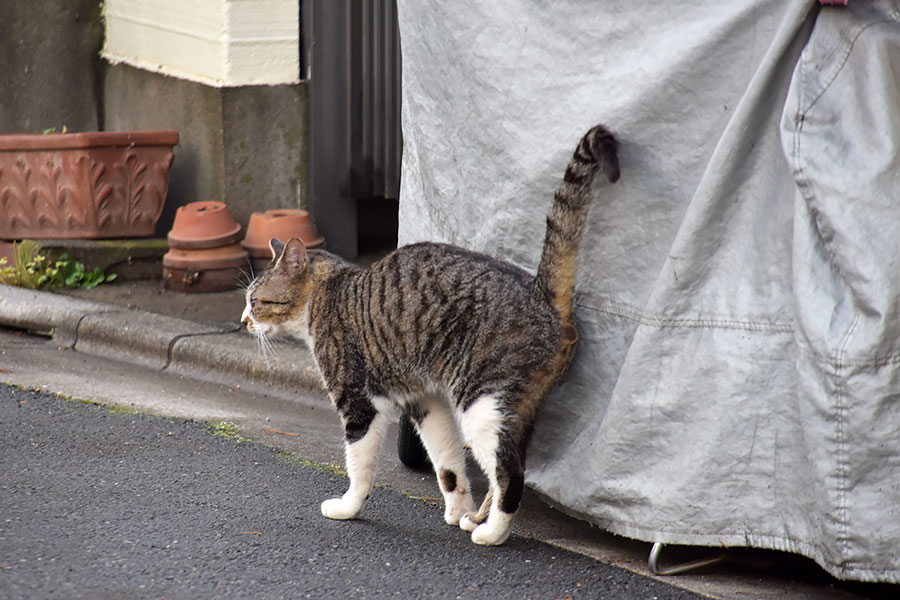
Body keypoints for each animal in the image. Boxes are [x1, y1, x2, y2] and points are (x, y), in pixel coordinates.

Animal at [239, 124, 620, 548]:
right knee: (504, 466)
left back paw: (492, 532)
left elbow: (359, 466)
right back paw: (475, 518)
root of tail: (540, 293)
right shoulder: (425, 401)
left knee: (511, 474)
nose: (243, 321)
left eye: (255, 301)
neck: (328, 290)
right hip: (514, 408)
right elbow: (448, 464)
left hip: (481, 403)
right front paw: (456, 510)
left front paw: (347, 507)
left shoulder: (358, 402)